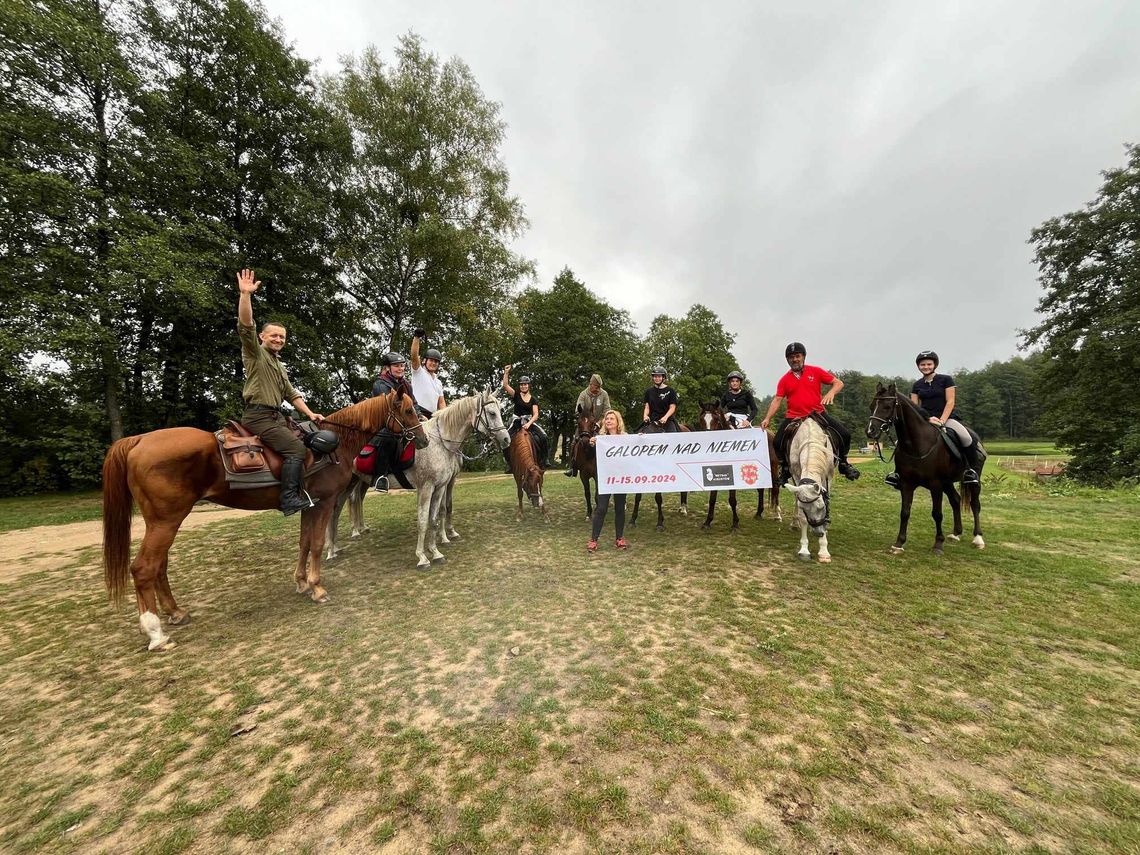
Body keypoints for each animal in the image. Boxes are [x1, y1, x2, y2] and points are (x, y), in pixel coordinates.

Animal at [99, 392, 424, 652]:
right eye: (408, 410)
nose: (423, 439)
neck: (335, 444)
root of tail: (139, 440)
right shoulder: (324, 503)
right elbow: (318, 544)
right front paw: (317, 588)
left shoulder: (308, 505)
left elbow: (304, 542)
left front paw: (301, 582)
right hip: (166, 520)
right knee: (144, 568)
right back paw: (156, 634)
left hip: (164, 522)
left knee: (159, 566)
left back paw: (176, 612)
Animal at [784, 419, 839, 565]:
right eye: (804, 509)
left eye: (821, 507)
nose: (818, 533)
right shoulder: (796, 475)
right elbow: (802, 516)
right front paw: (804, 550)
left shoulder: (828, 478)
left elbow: (828, 502)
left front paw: (824, 551)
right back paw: (795, 523)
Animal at [866, 380, 984, 556]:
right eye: (872, 405)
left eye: (887, 406)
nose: (870, 431)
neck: (917, 445)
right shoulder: (907, 484)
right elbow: (905, 512)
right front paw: (899, 543)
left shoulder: (935, 485)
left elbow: (937, 514)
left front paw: (938, 544)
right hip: (947, 483)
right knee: (956, 500)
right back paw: (956, 534)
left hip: (973, 481)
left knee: (975, 504)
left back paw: (978, 538)